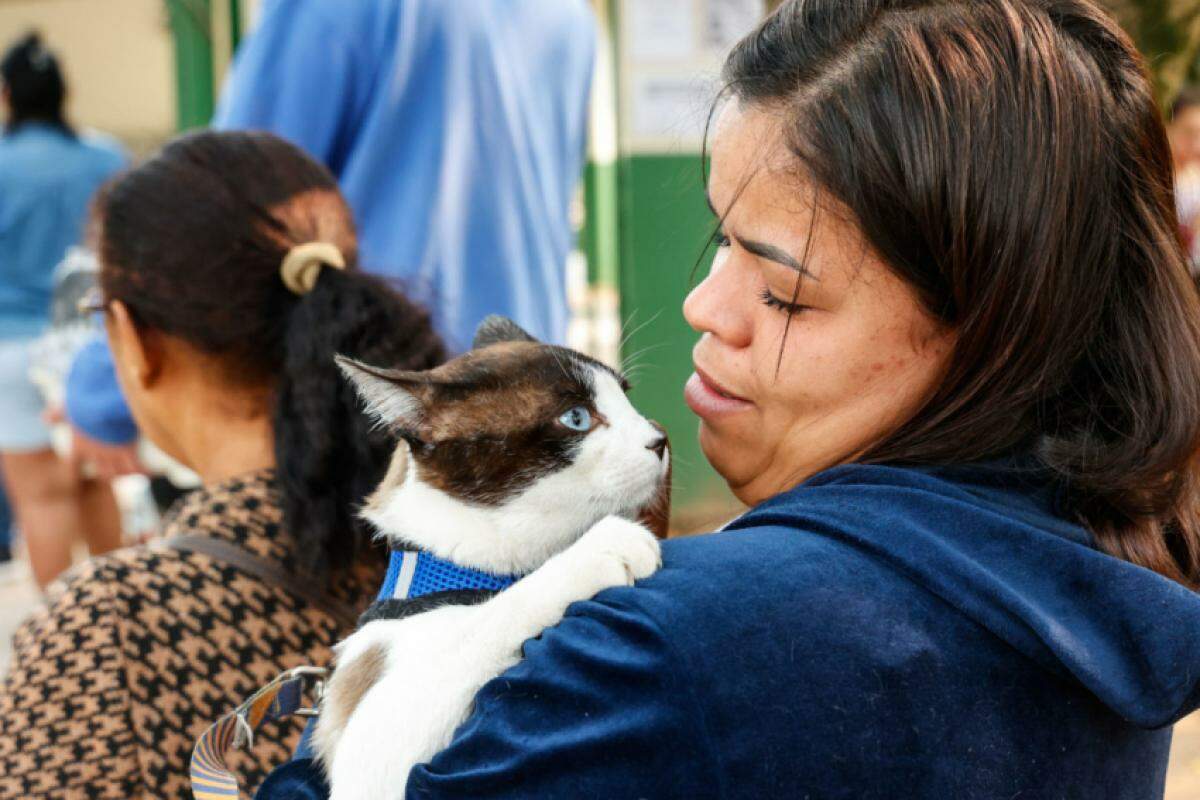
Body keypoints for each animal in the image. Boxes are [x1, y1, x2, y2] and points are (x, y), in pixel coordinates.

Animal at [314, 316, 672, 796]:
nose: (659, 438)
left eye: (626, 397)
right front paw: (603, 545)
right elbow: (488, 619)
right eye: (576, 419)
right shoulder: (367, 758)